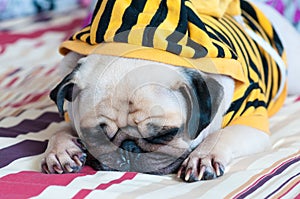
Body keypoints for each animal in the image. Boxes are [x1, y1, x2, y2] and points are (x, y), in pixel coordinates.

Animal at [41, 0, 300, 183]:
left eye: (163, 135)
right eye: (95, 136)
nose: (128, 149)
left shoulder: (252, 123)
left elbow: (221, 135)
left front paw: (204, 157)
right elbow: (57, 129)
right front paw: (61, 149)